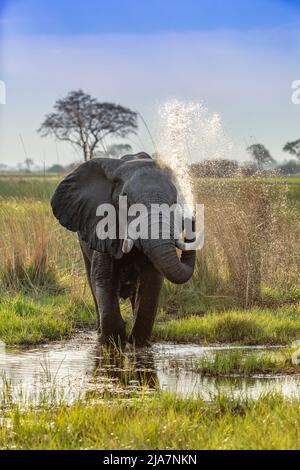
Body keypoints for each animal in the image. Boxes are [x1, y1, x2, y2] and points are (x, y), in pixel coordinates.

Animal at [51, 152, 199, 346]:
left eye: (175, 201)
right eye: (126, 199)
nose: (191, 219)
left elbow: (151, 282)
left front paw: (138, 343)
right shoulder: (103, 229)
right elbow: (103, 278)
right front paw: (112, 341)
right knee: (91, 280)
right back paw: (99, 331)